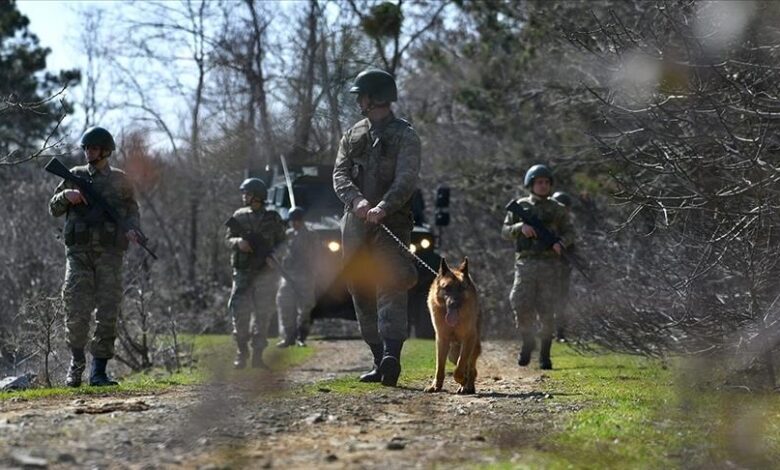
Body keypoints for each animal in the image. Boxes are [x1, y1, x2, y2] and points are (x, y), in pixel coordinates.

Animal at [424, 258, 478, 392]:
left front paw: (463, 380)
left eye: (461, 288)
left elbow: (460, 367)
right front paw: (436, 386)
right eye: (447, 288)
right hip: (452, 353)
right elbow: (439, 366)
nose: (453, 303)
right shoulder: (441, 340)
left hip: (472, 346)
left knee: (471, 367)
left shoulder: (469, 339)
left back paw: (467, 385)